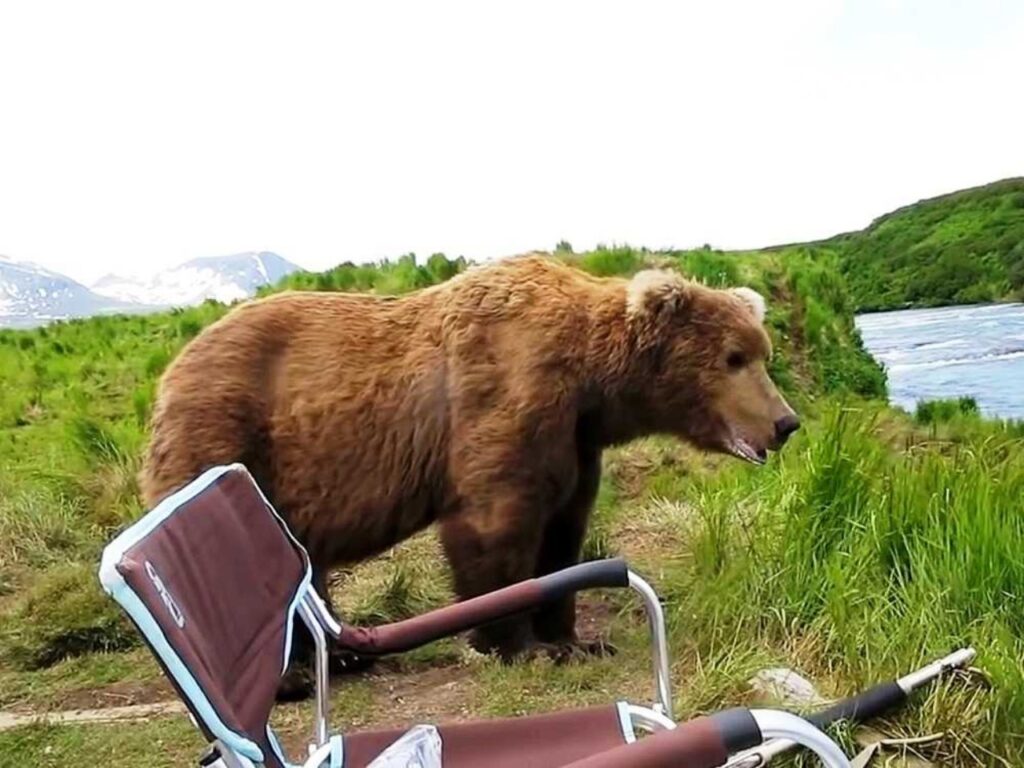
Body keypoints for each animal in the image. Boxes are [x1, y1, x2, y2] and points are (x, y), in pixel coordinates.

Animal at [136, 253, 794, 696]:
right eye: (733, 357)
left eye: (762, 352)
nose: (785, 422)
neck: (592, 382)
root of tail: (172, 367)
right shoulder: (504, 397)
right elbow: (495, 524)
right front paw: (516, 646)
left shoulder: (575, 442)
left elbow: (563, 532)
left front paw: (576, 640)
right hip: (228, 437)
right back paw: (292, 676)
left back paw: (343, 655)